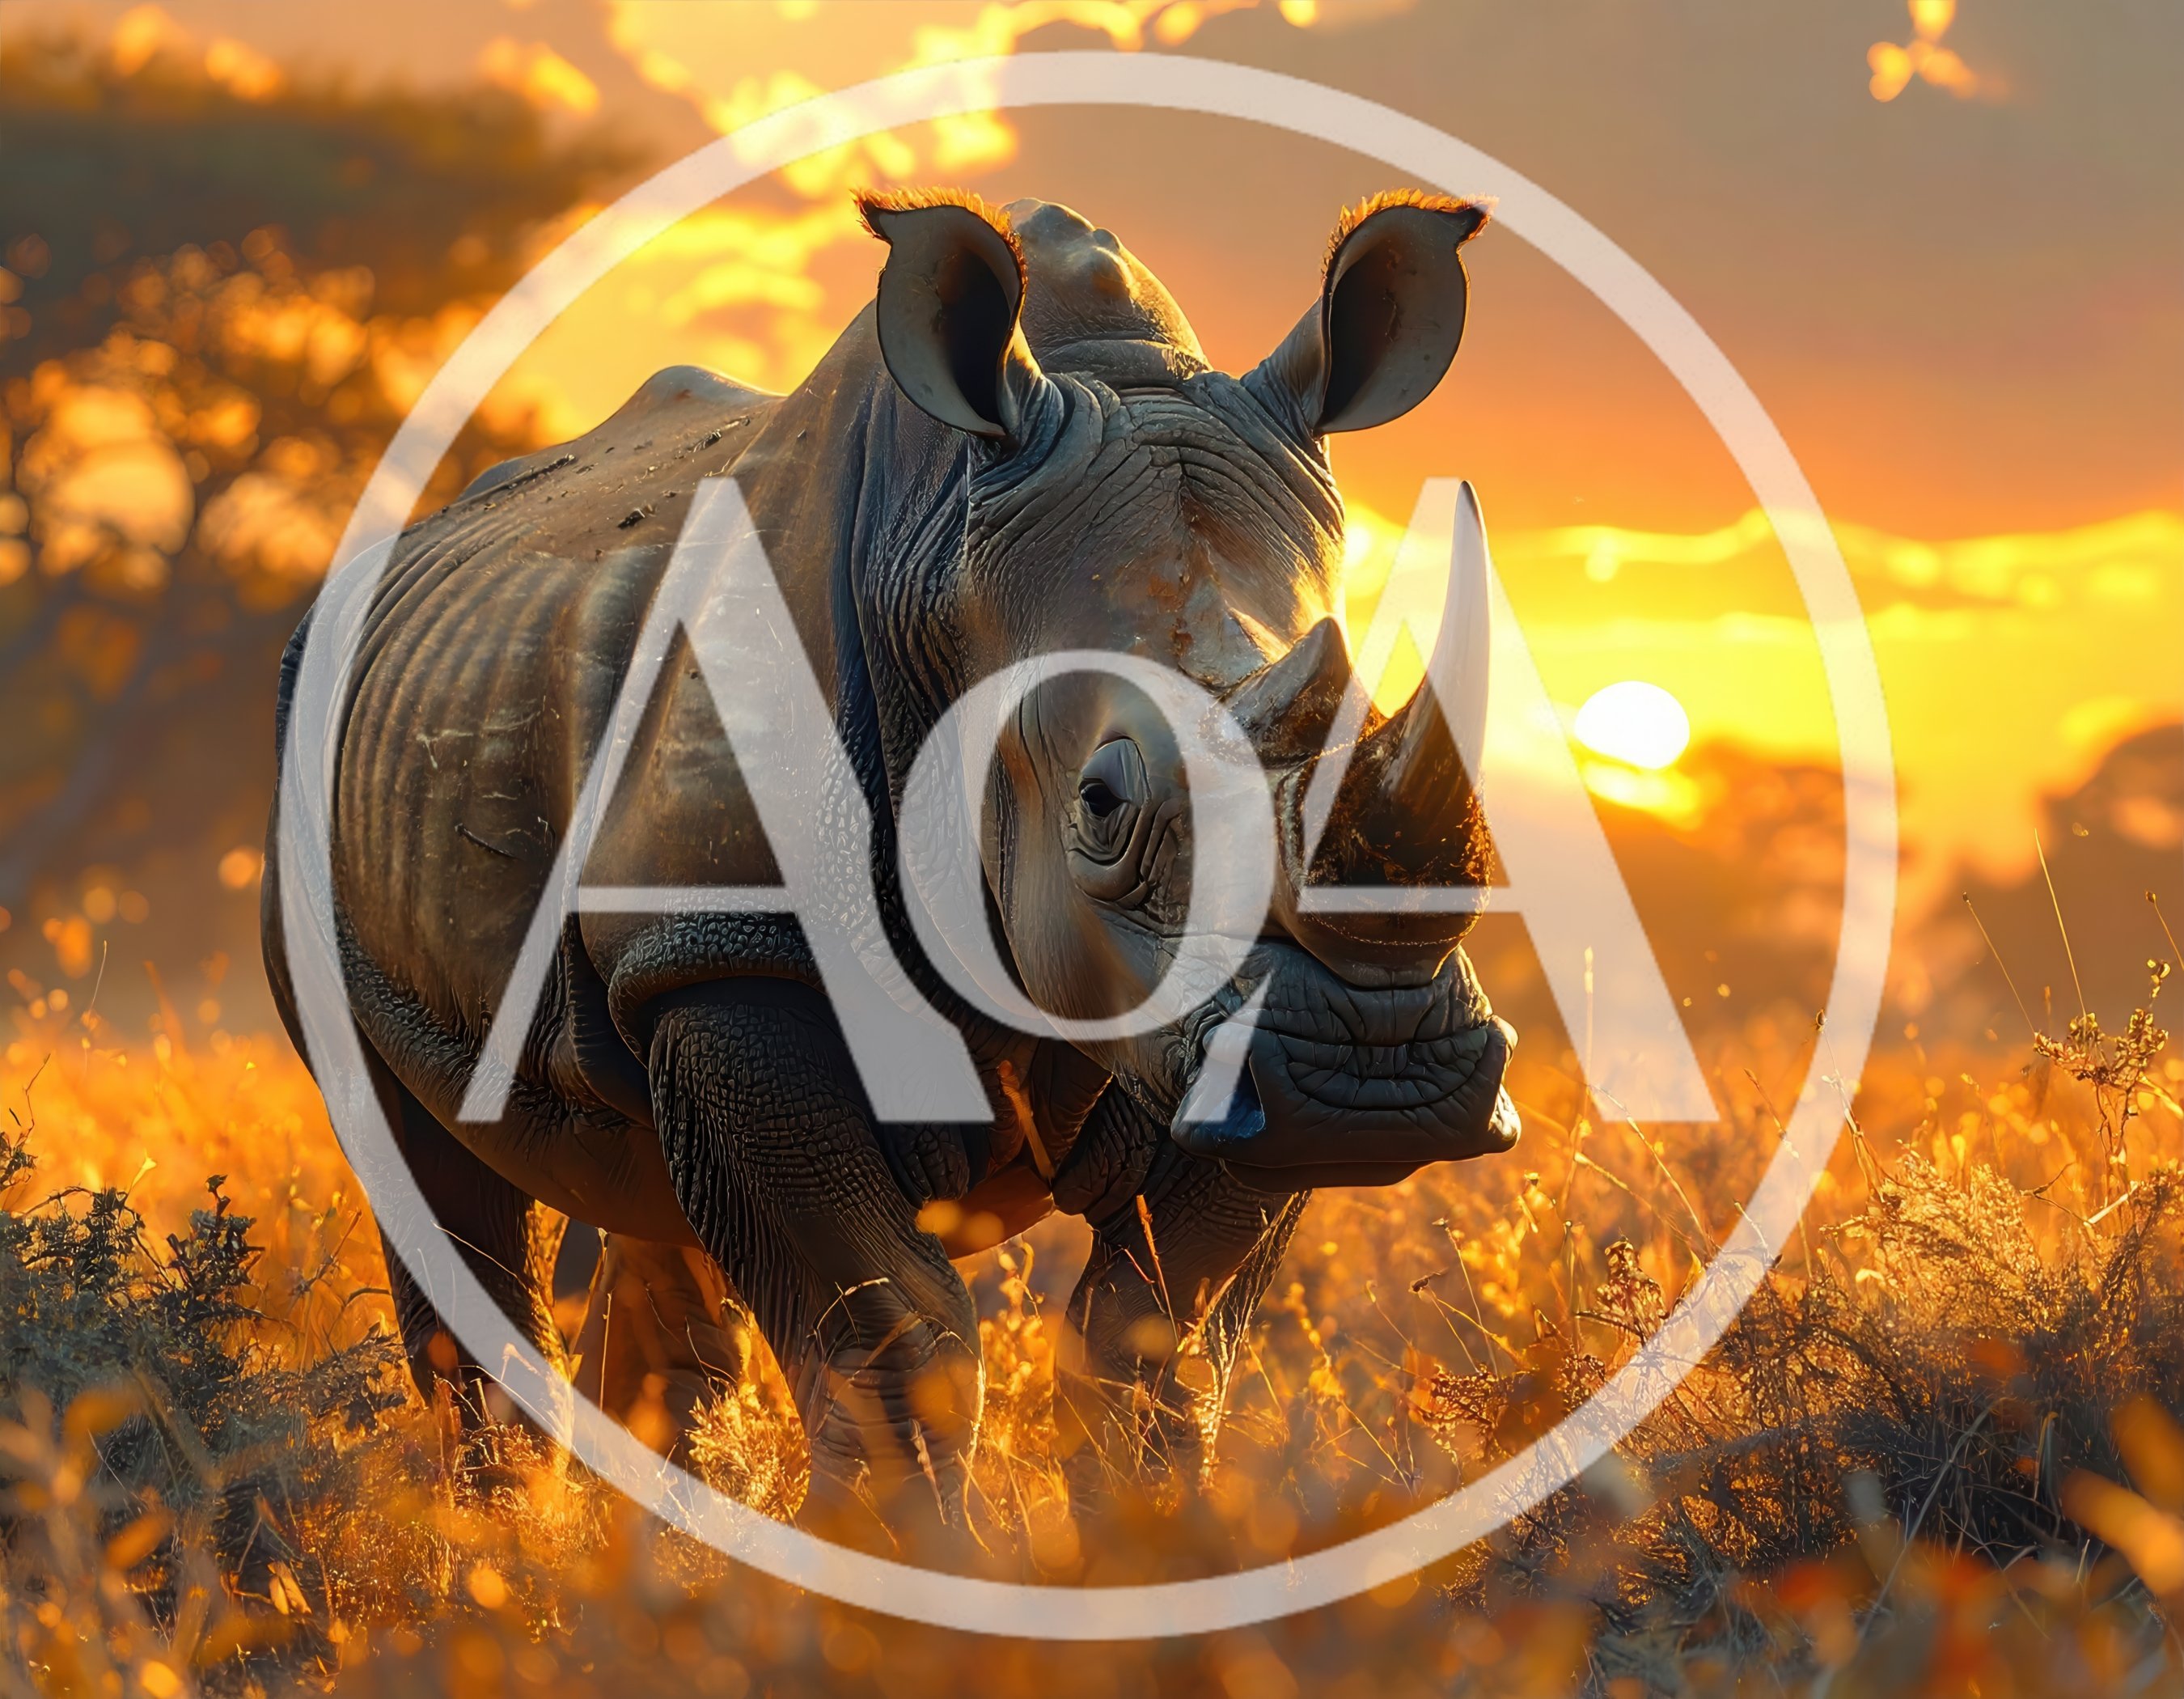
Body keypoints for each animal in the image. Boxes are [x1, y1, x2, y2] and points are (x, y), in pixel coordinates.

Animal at [262, 188, 1517, 1528]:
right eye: (1101, 806)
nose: (1375, 1072)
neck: (942, 576)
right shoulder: (733, 948)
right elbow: (900, 1334)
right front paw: (900, 1562)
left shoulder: (1219, 1043)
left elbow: (1150, 1342)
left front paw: (1147, 1549)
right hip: (307, 763)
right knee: (436, 1181)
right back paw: (507, 1546)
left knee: (642, 1196)